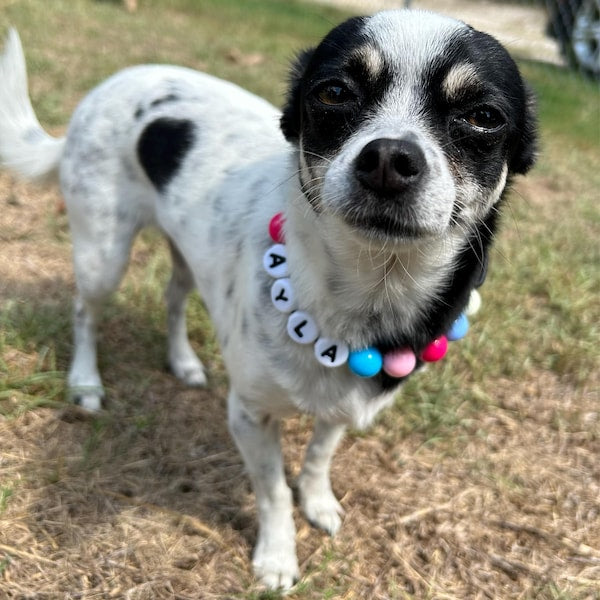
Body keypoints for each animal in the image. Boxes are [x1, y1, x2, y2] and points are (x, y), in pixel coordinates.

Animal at [0, 10, 536, 592]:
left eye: (483, 116)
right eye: (333, 92)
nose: (389, 157)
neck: (372, 290)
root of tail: (113, 81)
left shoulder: (340, 407)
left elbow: (320, 453)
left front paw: (317, 501)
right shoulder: (249, 415)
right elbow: (273, 490)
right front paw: (277, 557)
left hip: (189, 255)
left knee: (173, 296)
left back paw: (183, 362)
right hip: (104, 251)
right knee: (85, 312)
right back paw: (85, 382)